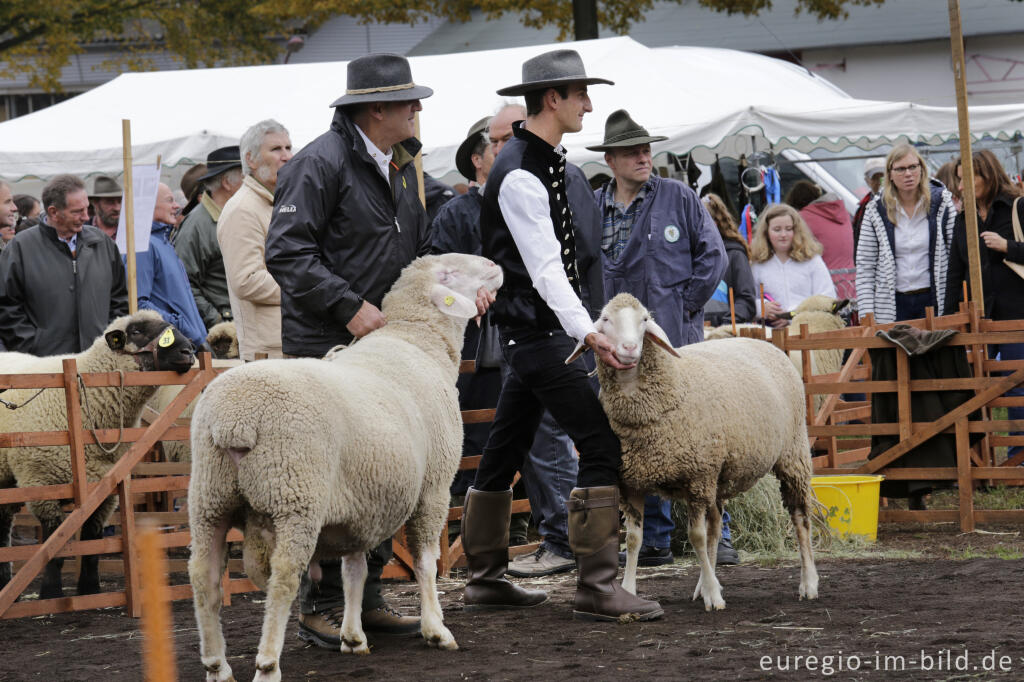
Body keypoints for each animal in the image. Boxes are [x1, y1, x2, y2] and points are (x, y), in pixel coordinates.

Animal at [0, 311, 195, 598]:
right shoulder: (41, 484)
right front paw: (51, 593)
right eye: (136, 331)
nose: (189, 351)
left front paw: (90, 590)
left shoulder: (104, 489)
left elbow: (92, 544)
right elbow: (53, 550)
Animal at [186, 250, 501, 679]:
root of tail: (234, 419)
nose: (496, 265)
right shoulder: (433, 488)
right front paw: (436, 629)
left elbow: (354, 570)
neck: (416, 339)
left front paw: (353, 637)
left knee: (205, 579)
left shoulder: (360, 501)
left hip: (209, 499)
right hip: (295, 497)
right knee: (284, 579)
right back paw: (267, 663)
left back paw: (217, 665)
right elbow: (425, 562)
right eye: (449, 272)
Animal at [573, 292, 819, 610]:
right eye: (605, 319)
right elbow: (634, 539)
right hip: (721, 472)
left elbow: (697, 537)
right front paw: (629, 590)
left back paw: (808, 583)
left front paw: (714, 597)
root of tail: (764, 341)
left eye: (644, 319)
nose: (628, 348)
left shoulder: (697, 477)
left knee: (800, 518)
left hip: (792, 453)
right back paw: (705, 582)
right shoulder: (632, 484)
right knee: (716, 525)